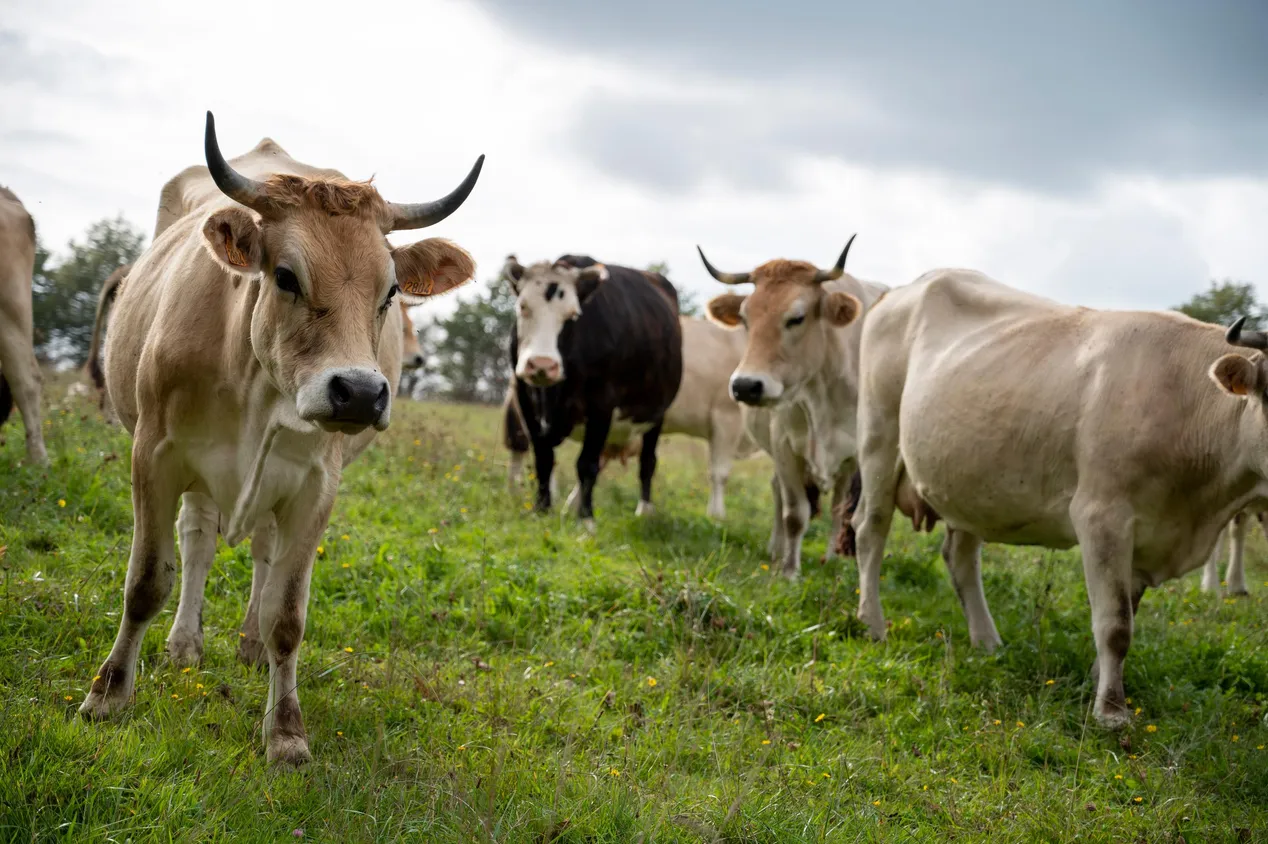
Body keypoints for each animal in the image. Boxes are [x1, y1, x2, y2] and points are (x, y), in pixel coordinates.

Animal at [77, 112, 482, 765]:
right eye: (287, 276)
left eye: (391, 290)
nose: (360, 392)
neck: (256, 383)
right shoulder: (153, 458)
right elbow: (145, 582)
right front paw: (108, 695)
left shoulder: (315, 488)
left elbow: (287, 616)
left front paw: (286, 731)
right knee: (198, 540)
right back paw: (185, 644)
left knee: (261, 556)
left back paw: (247, 645)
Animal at [504, 253, 682, 530]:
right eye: (523, 307)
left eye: (572, 315)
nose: (542, 365)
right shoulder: (525, 399)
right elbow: (543, 459)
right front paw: (541, 510)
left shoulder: (602, 405)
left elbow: (587, 464)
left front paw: (586, 520)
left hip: (657, 414)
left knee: (647, 461)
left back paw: (644, 509)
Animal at [701, 236, 884, 577]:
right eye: (744, 318)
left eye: (796, 318)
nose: (746, 385)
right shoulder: (784, 445)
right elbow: (794, 513)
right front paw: (788, 570)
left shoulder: (852, 458)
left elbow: (840, 511)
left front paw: (832, 561)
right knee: (777, 493)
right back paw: (775, 548)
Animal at [851, 268, 1268, 729]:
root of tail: (903, 289)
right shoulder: (1102, 516)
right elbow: (1115, 624)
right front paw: (1111, 710)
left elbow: (1126, 611)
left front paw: (1097, 680)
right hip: (878, 440)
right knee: (870, 531)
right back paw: (874, 625)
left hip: (968, 480)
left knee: (960, 558)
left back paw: (987, 641)